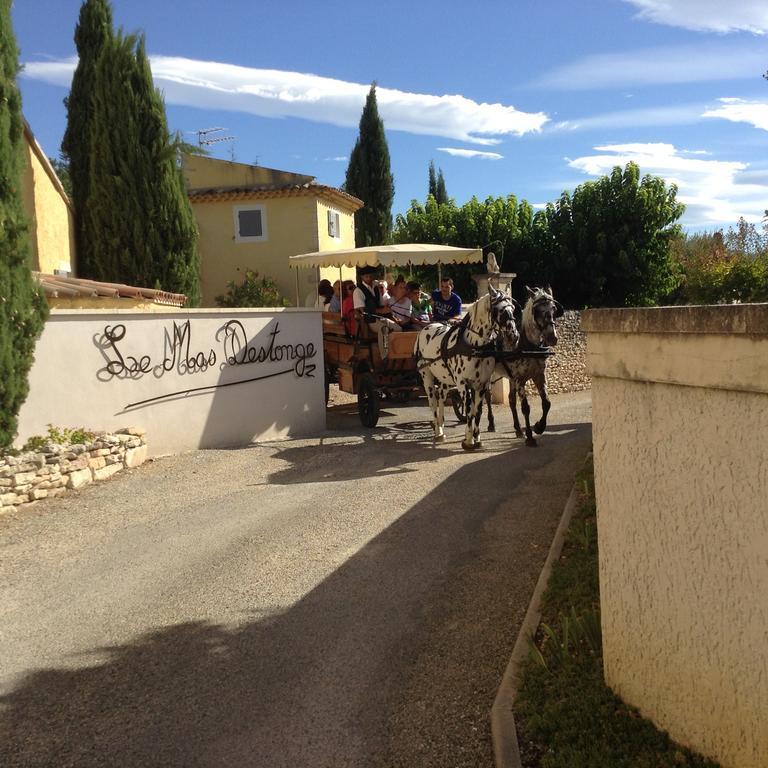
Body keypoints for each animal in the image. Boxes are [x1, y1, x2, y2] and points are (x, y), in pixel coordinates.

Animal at [414, 282, 520, 450]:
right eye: (499, 310)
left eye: (513, 308)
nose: (513, 336)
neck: (474, 345)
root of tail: (426, 328)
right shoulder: (463, 383)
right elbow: (470, 407)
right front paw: (469, 439)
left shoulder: (481, 384)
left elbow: (478, 410)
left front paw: (476, 438)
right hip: (427, 376)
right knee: (432, 402)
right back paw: (438, 432)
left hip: (445, 378)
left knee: (441, 397)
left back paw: (441, 427)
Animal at [486, 284, 564, 448]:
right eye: (537, 311)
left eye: (554, 309)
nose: (552, 338)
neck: (528, 345)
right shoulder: (520, 379)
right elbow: (525, 407)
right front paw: (530, 436)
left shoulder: (539, 375)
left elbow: (546, 403)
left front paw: (539, 427)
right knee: (488, 396)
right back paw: (491, 424)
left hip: (509, 377)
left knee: (510, 400)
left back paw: (517, 429)